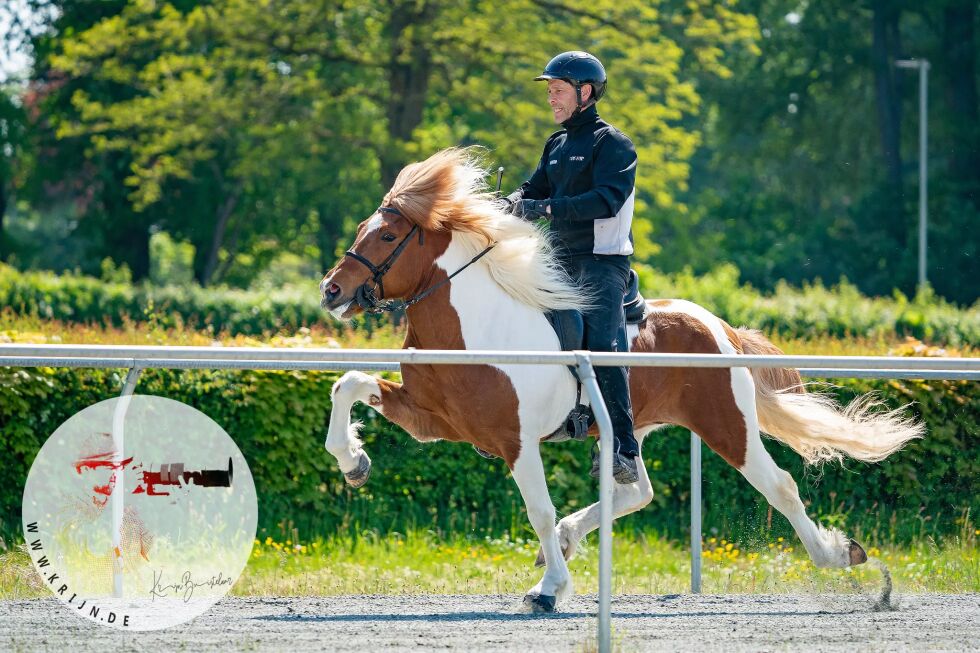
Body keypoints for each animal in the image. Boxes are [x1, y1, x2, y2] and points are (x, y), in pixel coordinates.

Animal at [318, 146, 924, 612]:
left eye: (387, 235)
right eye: (362, 228)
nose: (331, 291)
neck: (477, 325)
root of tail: (717, 325)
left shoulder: (516, 441)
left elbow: (538, 510)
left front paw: (549, 589)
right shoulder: (428, 418)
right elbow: (348, 385)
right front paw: (354, 462)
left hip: (728, 427)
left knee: (780, 485)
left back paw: (841, 556)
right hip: (632, 431)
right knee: (638, 489)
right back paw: (570, 535)